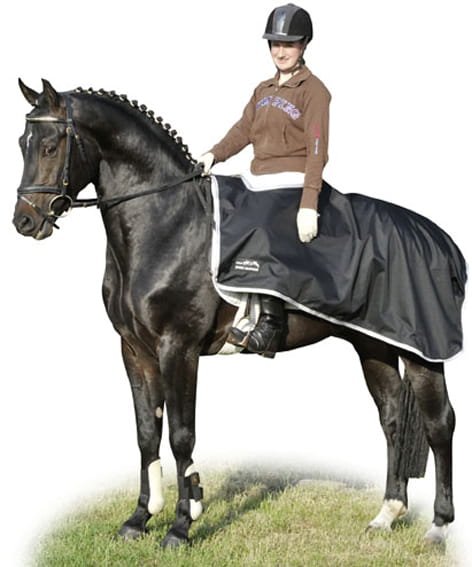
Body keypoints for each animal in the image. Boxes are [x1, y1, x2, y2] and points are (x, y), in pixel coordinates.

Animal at [13, 79, 457, 548]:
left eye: (51, 146)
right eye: (23, 143)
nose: (25, 221)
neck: (167, 226)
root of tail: (435, 237)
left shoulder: (179, 349)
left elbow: (181, 436)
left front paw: (182, 524)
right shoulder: (134, 351)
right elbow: (146, 433)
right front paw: (138, 519)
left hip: (422, 354)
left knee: (439, 423)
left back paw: (439, 525)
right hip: (373, 345)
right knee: (392, 418)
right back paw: (386, 514)